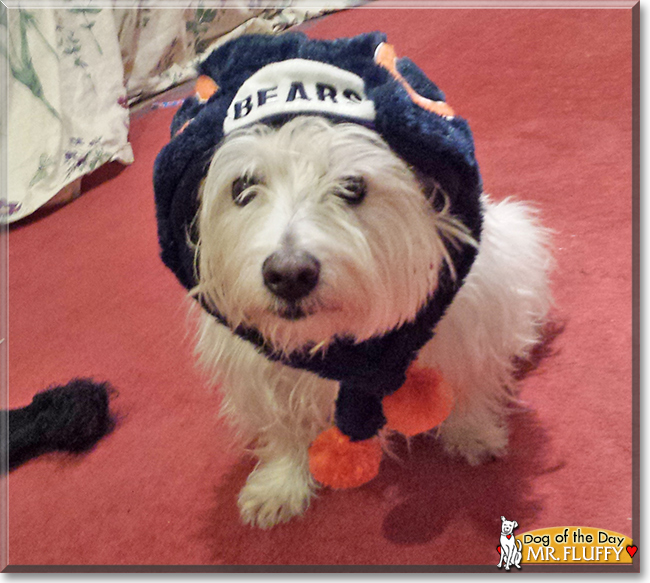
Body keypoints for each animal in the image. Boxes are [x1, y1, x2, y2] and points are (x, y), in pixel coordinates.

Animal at [189, 114, 552, 528]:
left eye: (352, 186)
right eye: (242, 187)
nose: (289, 275)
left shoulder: (469, 322)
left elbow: (469, 382)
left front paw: (473, 432)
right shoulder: (258, 365)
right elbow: (283, 426)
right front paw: (280, 484)